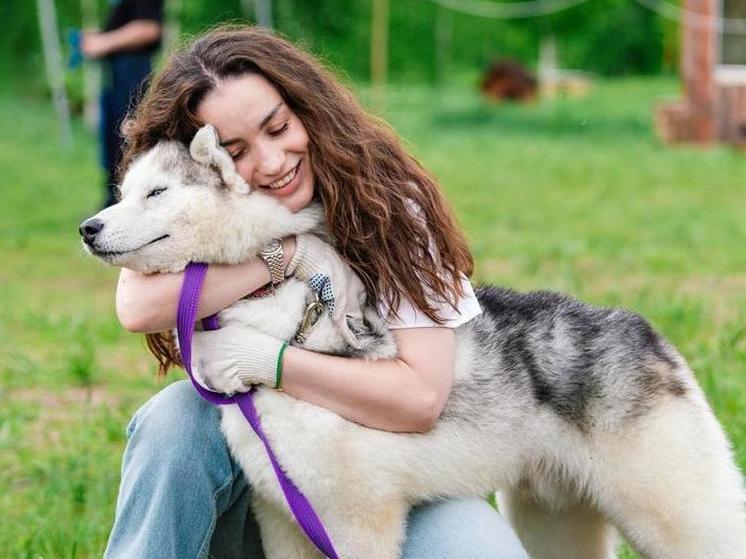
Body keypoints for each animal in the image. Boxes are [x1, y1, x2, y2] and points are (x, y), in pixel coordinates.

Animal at [81, 127, 744, 559]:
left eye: (157, 193)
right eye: (124, 190)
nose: (87, 228)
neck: (278, 322)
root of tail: (645, 330)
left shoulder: (356, 520)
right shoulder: (286, 521)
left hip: (678, 513)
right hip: (553, 518)